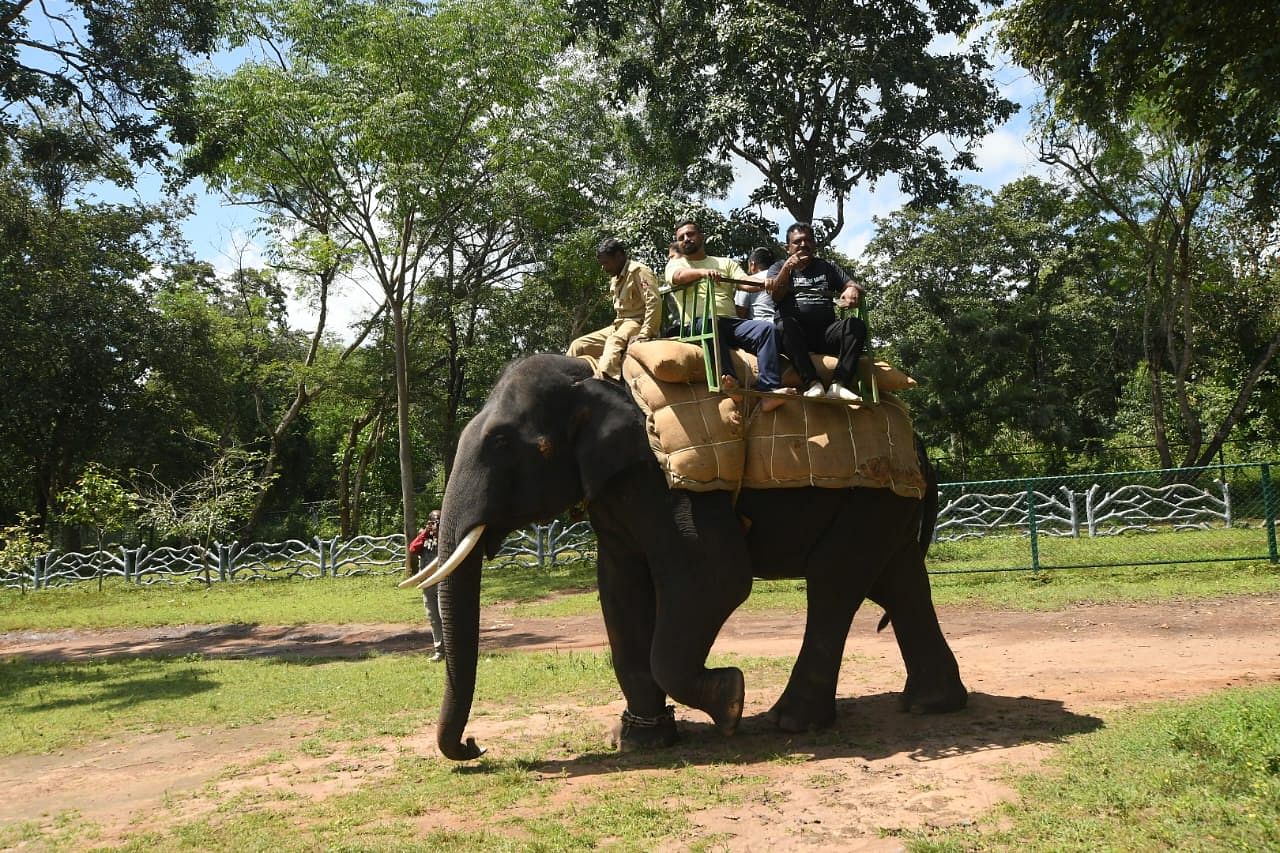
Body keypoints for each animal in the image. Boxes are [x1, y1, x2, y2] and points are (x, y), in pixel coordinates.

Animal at [414, 348, 962, 758]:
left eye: (502, 442)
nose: (474, 745)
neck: (597, 377)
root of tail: (918, 447)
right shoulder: (616, 490)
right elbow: (619, 589)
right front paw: (640, 741)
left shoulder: (668, 483)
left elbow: (713, 578)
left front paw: (730, 700)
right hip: (884, 505)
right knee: (897, 580)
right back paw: (931, 705)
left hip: (869, 495)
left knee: (834, 582)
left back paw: (791, 722)